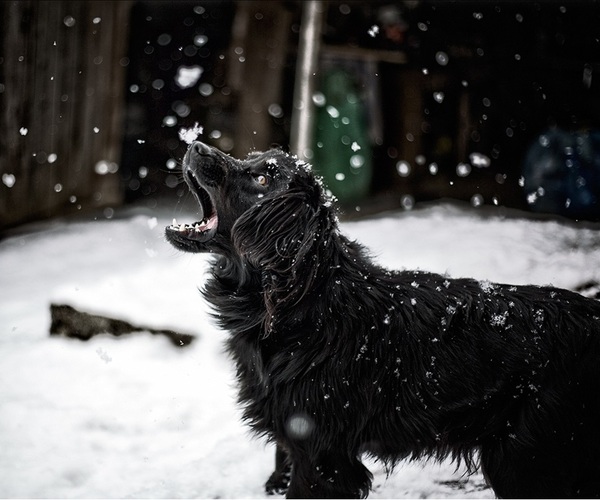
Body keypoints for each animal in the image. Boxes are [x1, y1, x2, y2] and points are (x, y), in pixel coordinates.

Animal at [166, 142, 600, 500]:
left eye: (261, 179)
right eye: (253, 161)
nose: (196, 144)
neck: (302, 302)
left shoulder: (322, 457)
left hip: (526, 459)